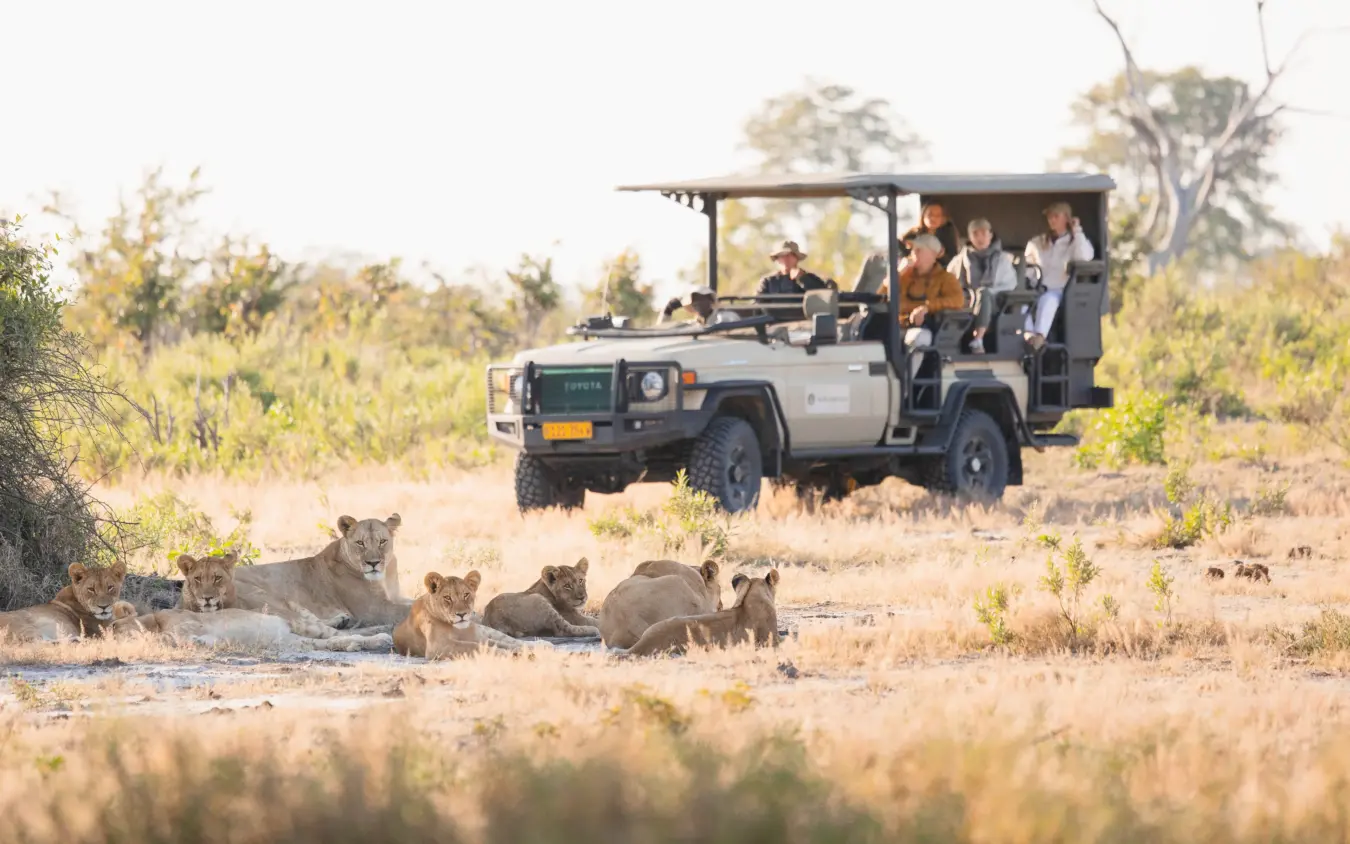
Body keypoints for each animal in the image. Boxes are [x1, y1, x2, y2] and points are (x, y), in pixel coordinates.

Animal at [232, 513, 410, 633]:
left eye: (382, 541)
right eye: (360, 543)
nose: (373, 563)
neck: (385, 577)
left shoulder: (396, 597)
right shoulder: (374, 609)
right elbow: (405, 610)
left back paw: (341, 621)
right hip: (265, 597)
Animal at [393, 570, 532, 659]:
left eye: (466, 595)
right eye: (447, 597)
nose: (462, 614)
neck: (459, 630)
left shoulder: (480, 638)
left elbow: (501, 644)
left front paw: (523, 651)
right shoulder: (439, 646)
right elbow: (474, 647)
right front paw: (510, 654)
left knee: (512, 641)